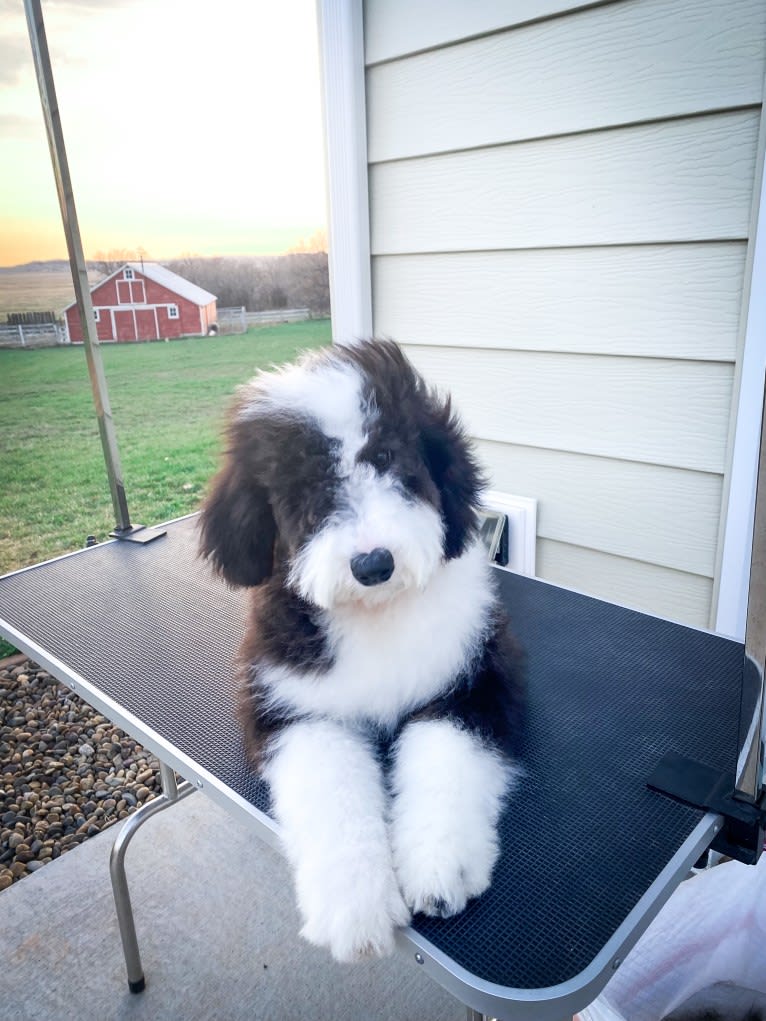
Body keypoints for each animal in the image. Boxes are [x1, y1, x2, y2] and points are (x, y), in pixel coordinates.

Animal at [198, 338, 527, 959]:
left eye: (391, 458)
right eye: (306, 485)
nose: (374, 564)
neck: (377, 616)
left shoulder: (476, 679)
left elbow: (448, 758)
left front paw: (440, 867)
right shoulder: (293, 709)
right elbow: (331, 791)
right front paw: (355, 907)